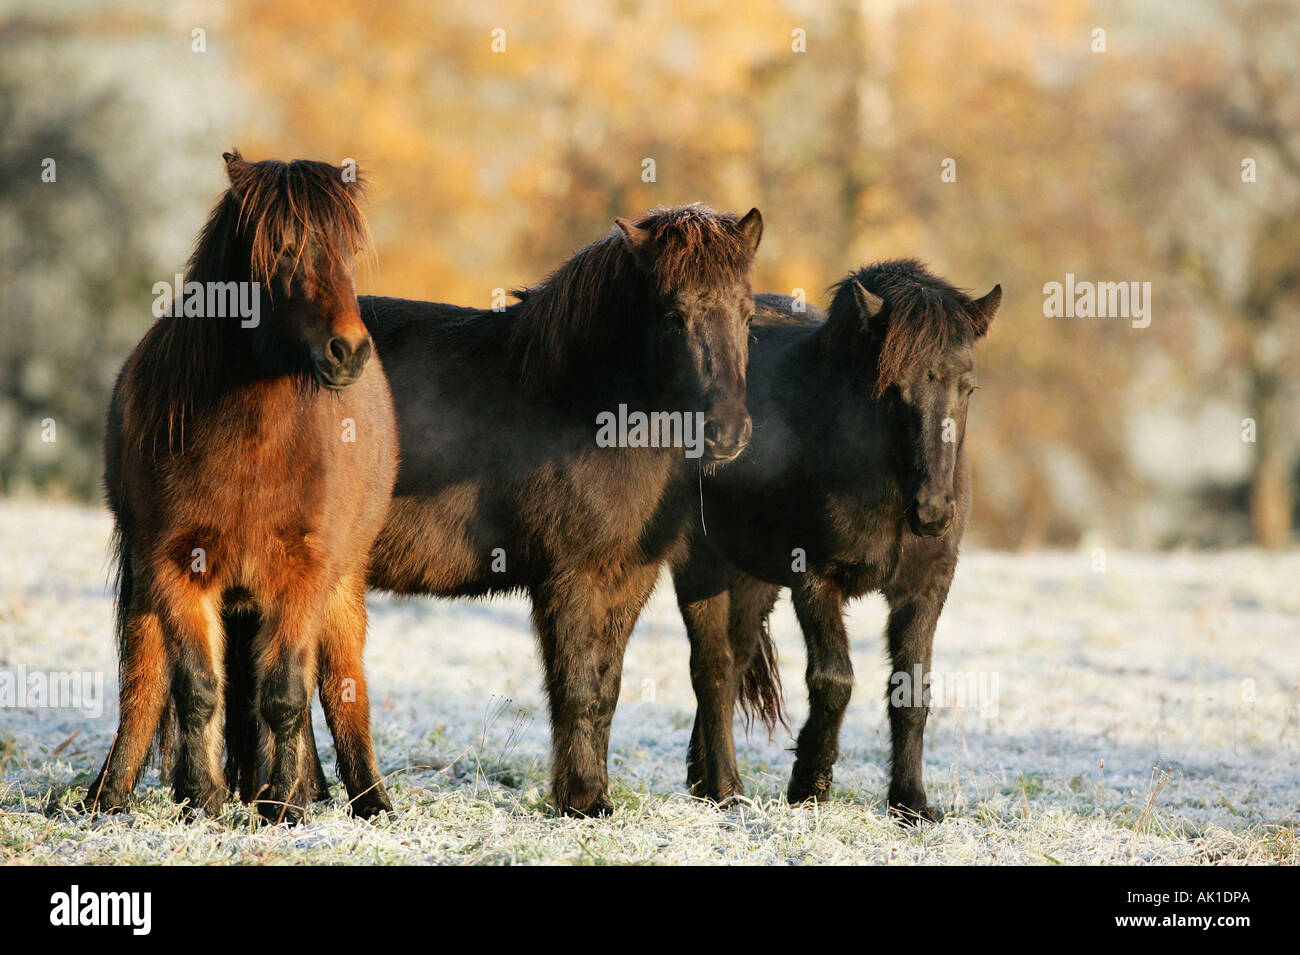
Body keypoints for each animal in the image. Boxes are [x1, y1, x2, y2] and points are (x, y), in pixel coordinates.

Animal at [80, 150, 397, 825]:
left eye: (347, 251)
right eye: (281, 249)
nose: (348, 351)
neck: (254, 449)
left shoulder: (305, 575)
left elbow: (286, 693)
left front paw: (282, 806)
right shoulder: (176, 569)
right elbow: (197, 689)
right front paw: (204, 800)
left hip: (342, 586)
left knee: (338, 686)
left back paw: (361, 801)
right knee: (145, 684)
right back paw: (108, 797)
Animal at [269, 204, 761, 817]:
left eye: (747, 316)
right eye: (674, 315)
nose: (728, 434)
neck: (580, 404)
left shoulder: (630, 578)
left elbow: (606, 691)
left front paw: (593, 793)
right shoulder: (569, 577)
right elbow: (576, 689)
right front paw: (583, 801)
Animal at [672, 260, 1000, 821]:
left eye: (969, 388)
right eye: (893, 388)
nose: (932, 512)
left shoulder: (925, 587)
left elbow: (912, 691)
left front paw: (911, 804)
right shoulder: (815, 579)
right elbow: (833, 680)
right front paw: (809, 788)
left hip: (753, 577)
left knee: (735, 659)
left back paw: (704, 781)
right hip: (701, 563)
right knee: (712, 668)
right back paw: (726, 790)